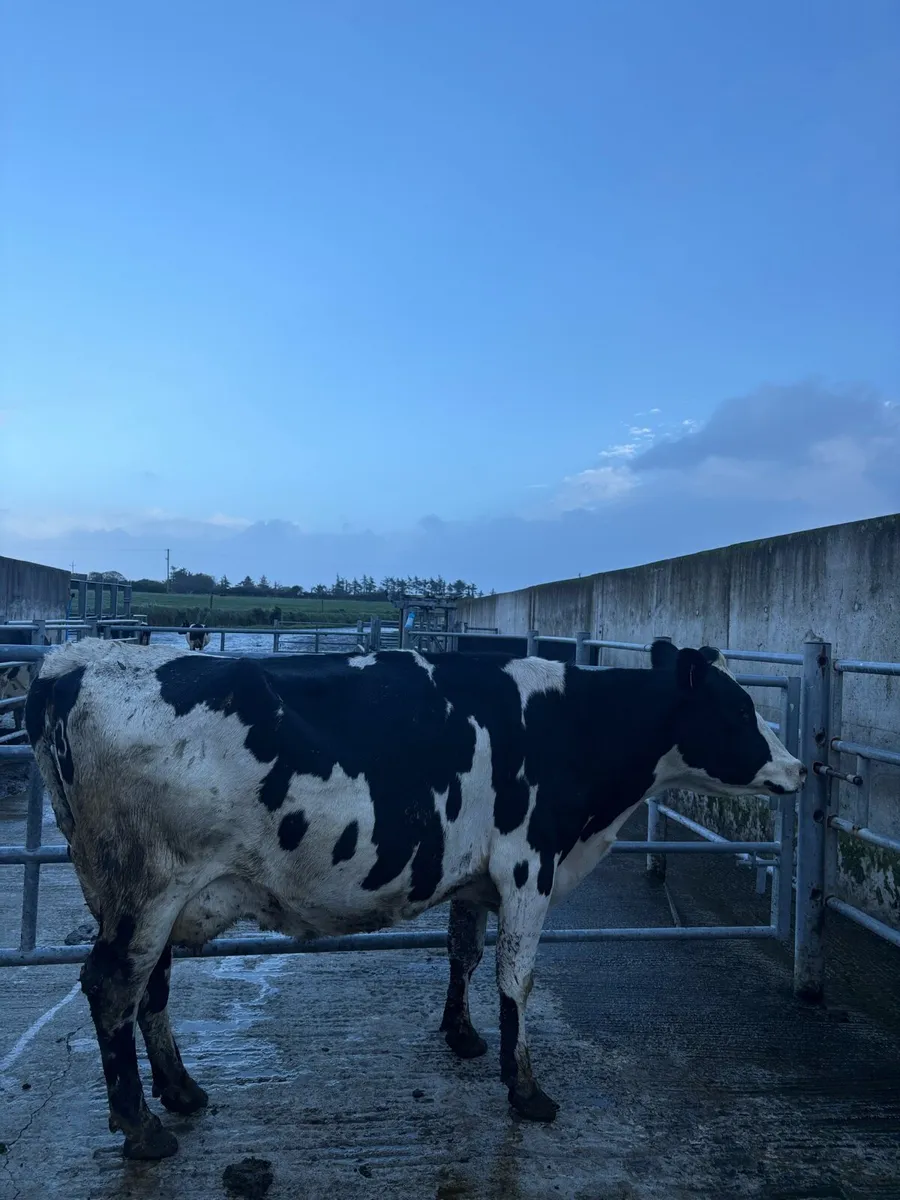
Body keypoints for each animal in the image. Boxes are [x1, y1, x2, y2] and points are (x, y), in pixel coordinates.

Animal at [25, 638, 804, 1161]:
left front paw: (462, 1036)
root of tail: (73, 663)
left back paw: (181, 1090)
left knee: (148, 986)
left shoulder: (478, 872)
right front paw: (525, 1089)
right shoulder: (529, 861)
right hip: (147, 886)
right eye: (740, 710)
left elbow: (464, 950)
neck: (573, 724)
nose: (800, 768)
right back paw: (142, 1126)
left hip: (144, 894)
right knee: (113, 986)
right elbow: (517, 975)